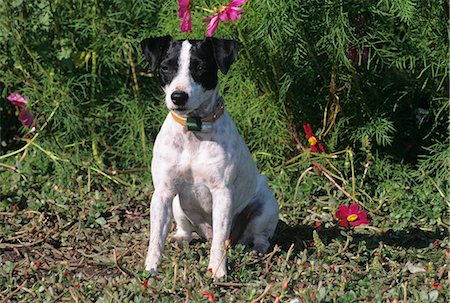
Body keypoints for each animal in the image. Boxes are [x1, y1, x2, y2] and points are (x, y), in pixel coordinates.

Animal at [142, 35, 280, 280]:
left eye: (200, 67)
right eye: (166, 67)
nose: (178, 96)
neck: (193, 132)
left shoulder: (222, 194)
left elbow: (219, 242)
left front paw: (217, 269)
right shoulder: (163, 192)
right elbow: (156, 237)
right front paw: (151, 268)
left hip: (266, 207)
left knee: (257, 236)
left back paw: (257, 249)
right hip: (177, 204)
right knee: (186, 230)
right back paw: (181, 238)